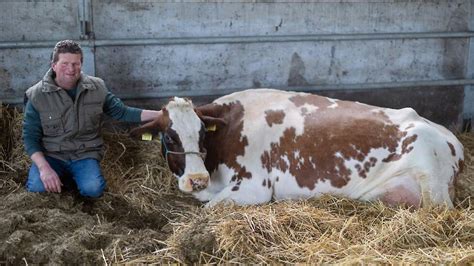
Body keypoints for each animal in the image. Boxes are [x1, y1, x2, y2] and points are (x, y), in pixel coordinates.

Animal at [131, 89, 464, 208]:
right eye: (169, 137)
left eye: (202, 134)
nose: (196, 180)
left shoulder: (255, 187)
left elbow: (209, 209)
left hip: (432, 184)